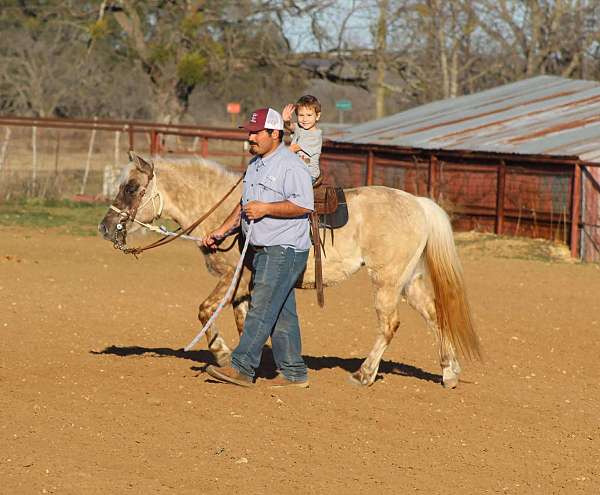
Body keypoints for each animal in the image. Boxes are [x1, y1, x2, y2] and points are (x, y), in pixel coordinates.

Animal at [99, 153, 482, 390]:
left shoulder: (233, 279)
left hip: (386, 282)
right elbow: (248, 323)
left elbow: (205, 310)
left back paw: (364, 374)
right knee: (436, 316)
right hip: (408, 281)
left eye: (131, 187)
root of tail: (419, 203)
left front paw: (221, 354)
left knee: (389, 325)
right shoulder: (247, 288)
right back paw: (449, 372)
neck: (232, 214)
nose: (105, 227)